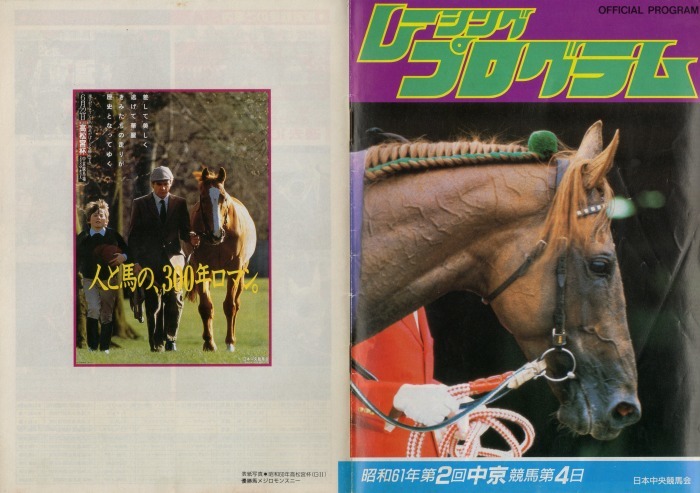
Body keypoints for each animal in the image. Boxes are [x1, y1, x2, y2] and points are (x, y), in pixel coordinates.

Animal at [186, 167, 256, 352]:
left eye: (223, 198)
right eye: (203, 198)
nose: (216, 235)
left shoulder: (234, 269)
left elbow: (230, 305)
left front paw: (230, 342)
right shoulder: (201, 269)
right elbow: (206, 306)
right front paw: (209, 343)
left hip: (241, 272)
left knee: (236, 303)